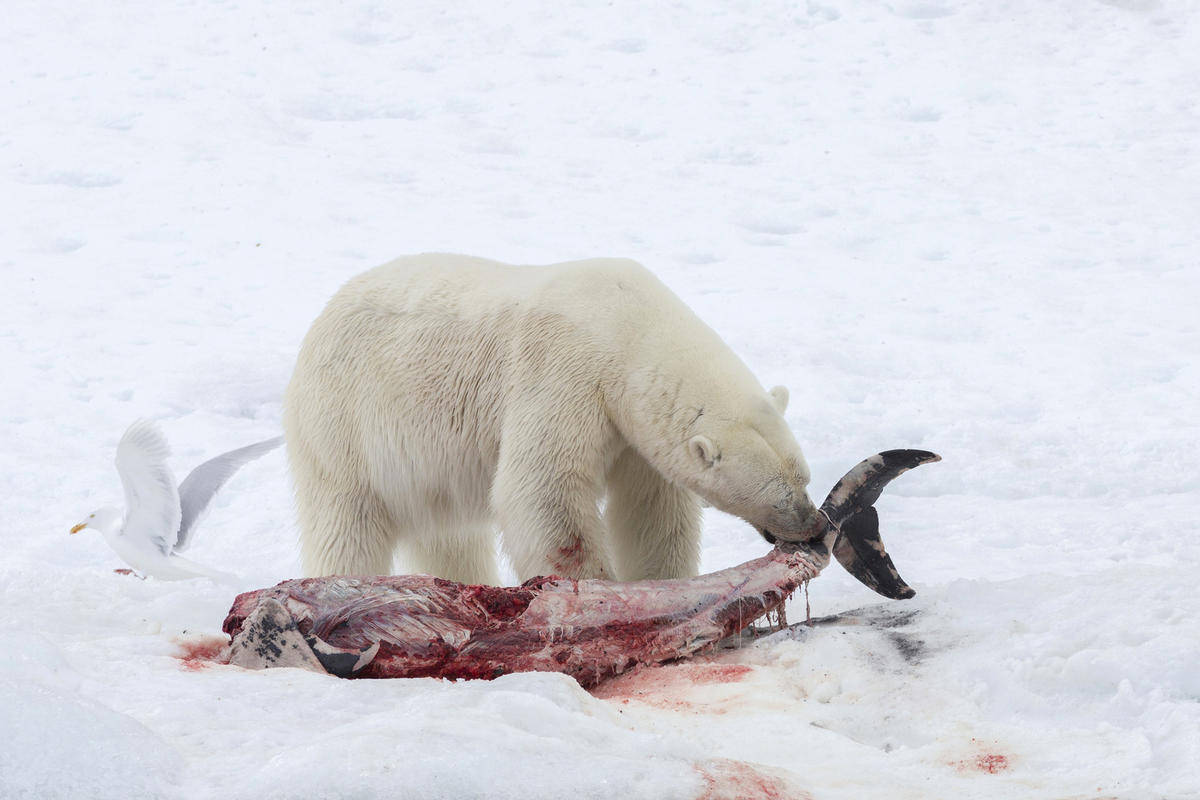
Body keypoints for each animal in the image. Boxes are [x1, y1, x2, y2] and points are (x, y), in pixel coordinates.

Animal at [285, 253, 820, 585]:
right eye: (775, 494)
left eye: (804, 477)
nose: (814, 524)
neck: (626, 324)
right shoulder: (564, 373)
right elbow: (544, 489)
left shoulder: (632, 432)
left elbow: (651, 509)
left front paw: (663, 581)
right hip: (346, 421)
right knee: (346, 524)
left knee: (451, 536)